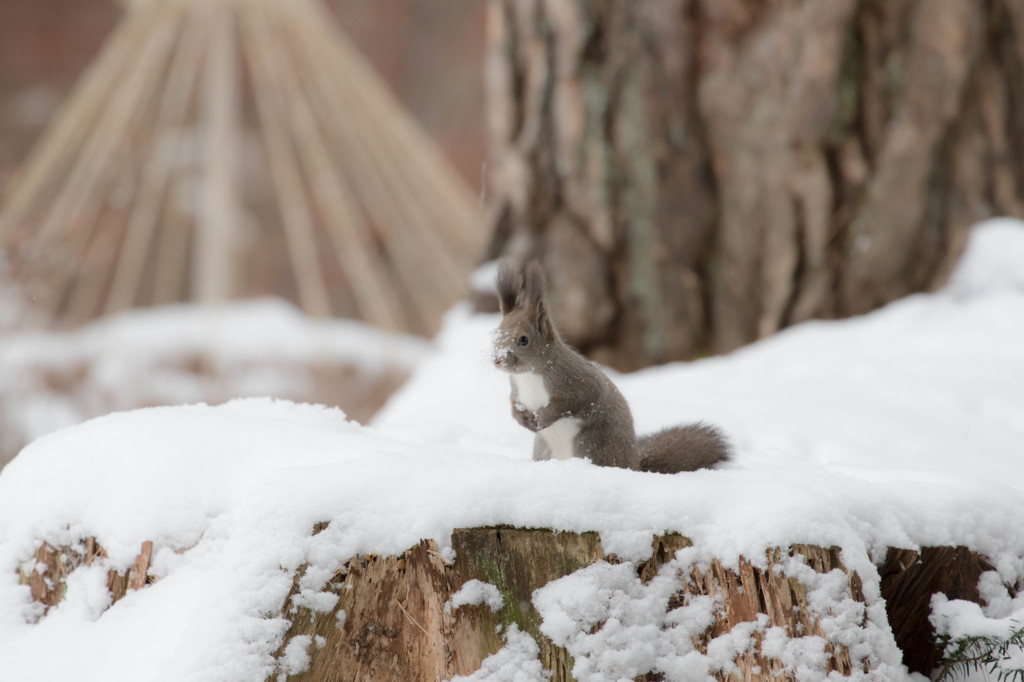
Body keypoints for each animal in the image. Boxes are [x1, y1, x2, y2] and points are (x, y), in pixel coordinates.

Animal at [493, 260, 729, 473]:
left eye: (523, 340)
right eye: (496, 333)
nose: (497, 359)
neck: (529, 374)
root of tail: (634, 465)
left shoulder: (576, 381)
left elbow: (571, 402)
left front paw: (543, 417)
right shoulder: (516, 390)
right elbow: (514, 405)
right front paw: (522, 419)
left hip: (591, 445)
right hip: (545, 449)